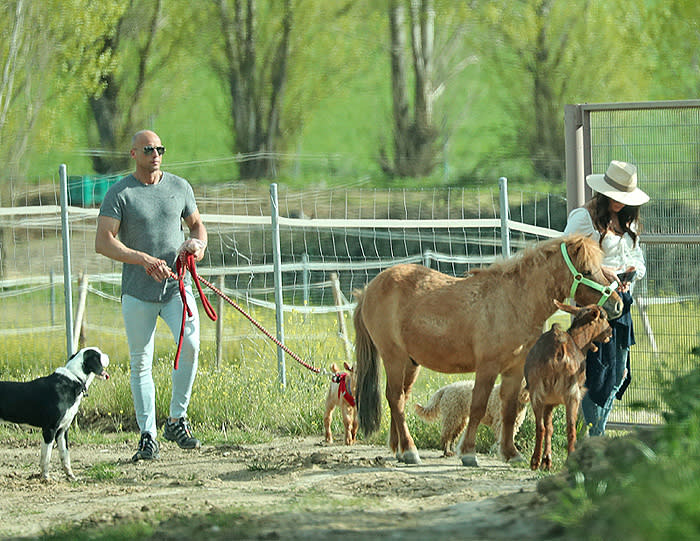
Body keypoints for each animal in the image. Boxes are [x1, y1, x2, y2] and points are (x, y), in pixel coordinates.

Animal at [524, 300, 612, 468]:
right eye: (603, 317)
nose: (610, 332)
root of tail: (559, 348)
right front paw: (547, 460)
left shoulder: (549, 402)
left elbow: (549, 427)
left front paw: (547, 460)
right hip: (571, 394)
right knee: (569, 428)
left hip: (537, 392)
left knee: (542, 427)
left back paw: (536, 461)